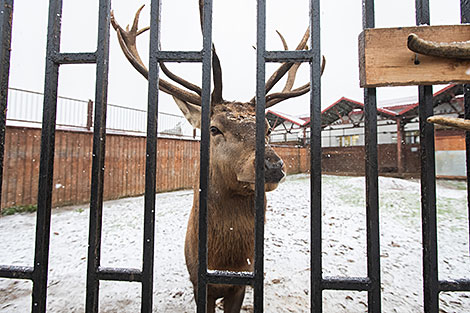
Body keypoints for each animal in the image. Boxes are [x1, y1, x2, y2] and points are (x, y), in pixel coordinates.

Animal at [110, 1, 324, 310]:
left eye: (268, 128)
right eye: (214, 128)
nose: (273, 164)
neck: (224, 264)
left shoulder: (242, 284)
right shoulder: (199, 283)